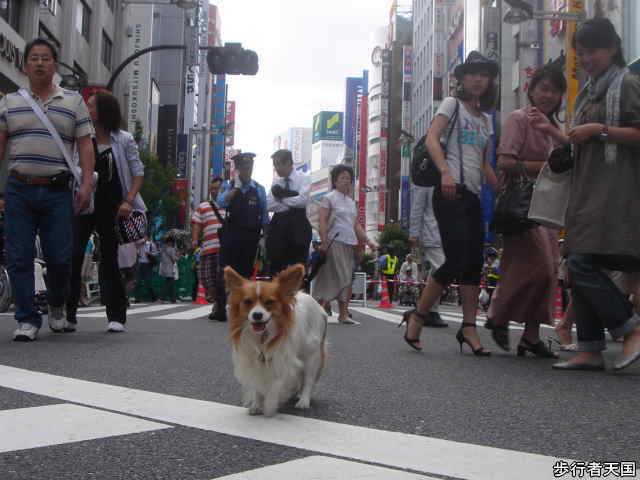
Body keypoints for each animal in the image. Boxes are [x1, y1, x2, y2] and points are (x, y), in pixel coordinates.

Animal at [224, 262, 328, 416]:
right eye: (247, 302)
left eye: (269, 302)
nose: (257, 315)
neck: (263, 337)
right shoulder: (255, 361)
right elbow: (258, 385)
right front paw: (256, 405)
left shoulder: (282, 361)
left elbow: (275, 385)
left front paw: (270, 406)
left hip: (312, 354)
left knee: (309, 379)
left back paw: (303, 400)